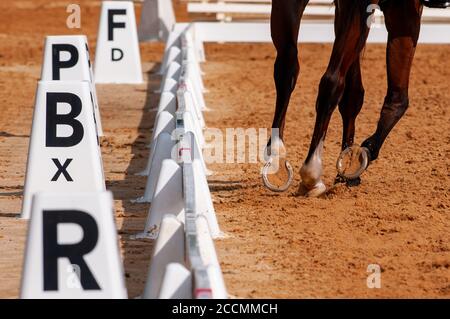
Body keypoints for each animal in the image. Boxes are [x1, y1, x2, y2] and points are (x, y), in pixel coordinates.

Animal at [266, 0, 434, 196]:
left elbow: (353, 96)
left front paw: (348, 166)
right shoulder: (400, 10)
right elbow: (397, 98)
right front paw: (360, 157)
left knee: (288, 65)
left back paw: (278, 155)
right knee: (330, 80)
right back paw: (312, 172)